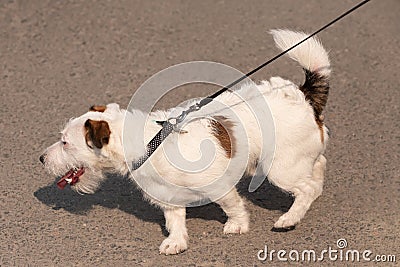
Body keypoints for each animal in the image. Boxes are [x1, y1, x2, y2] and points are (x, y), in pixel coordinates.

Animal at [39, 29, 332, 255]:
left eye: (65, 142)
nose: (41, 158)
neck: (151, 142)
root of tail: (302, 94)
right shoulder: (169, 198)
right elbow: (175, 222)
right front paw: (176, 242)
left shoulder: (219, 187)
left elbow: (233, 206)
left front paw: (237, 225)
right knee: (317, 170)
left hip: (280, 168)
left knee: (305, 188)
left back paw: (290, 218)